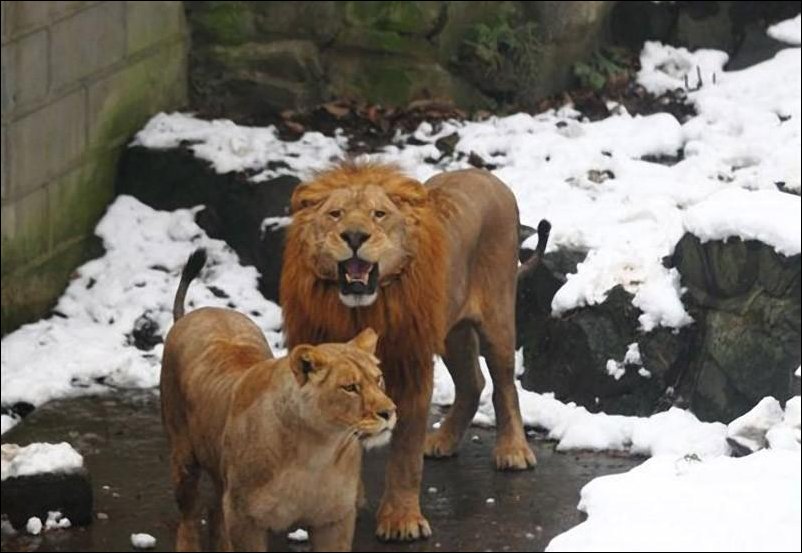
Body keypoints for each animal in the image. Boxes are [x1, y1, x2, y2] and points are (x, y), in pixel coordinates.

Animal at [160, 248, 394, 548]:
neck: (317, 452)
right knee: (189, 518)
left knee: (213, 511)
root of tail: (195, 314)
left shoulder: (335, 520)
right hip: (184, 458)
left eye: (378, 379)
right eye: (350, 387)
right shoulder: (243, 517)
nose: (390, 412)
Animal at [278, 161, 548, 540]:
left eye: (379, 214)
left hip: (497, 319)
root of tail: (485, 175)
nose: (355, 237)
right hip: (453, 332)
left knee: (504, 384)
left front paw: (401, 521)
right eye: (335, 214)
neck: (358, 311)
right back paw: (443, 442)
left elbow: (405, 454)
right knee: (473, 382)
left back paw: (513, 451)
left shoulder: (411, 366)